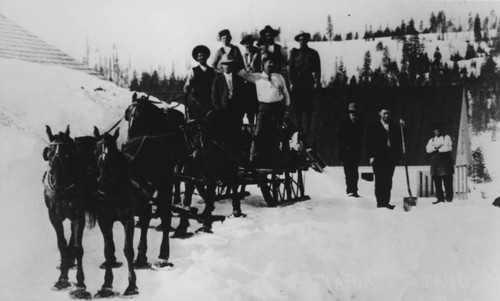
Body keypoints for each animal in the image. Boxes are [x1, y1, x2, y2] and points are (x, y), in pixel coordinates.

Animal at [42, 124, 96, 298]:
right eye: (49, 154)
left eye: (67, 154)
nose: (57, 185)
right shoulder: (53, 217)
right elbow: (61, 245)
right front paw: (62, 279)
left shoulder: (78, 215)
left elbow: (79, 248)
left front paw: (80, 285)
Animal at [92, 126, 138, 296]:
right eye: (96, 150)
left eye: (112, 150)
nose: (103, 179)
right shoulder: (103, 220)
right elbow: (108, 249)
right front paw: (107, 284)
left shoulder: (128, 218)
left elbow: (128, 250)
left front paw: (131, 285)